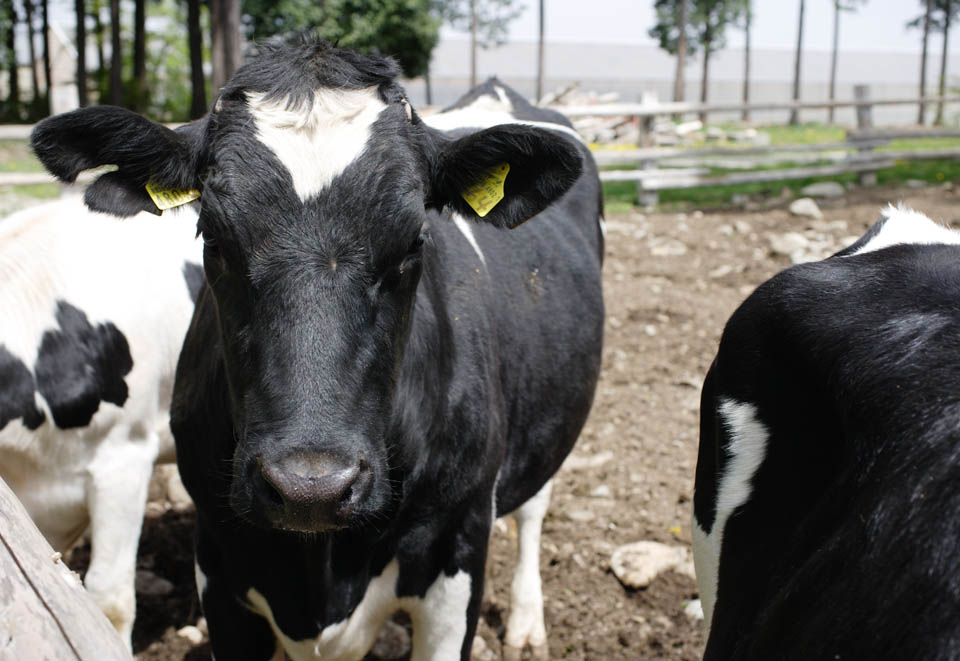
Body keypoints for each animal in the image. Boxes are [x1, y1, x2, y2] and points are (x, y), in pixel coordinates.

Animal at [31, 42, 608, 660]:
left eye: (414, 240)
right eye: (214, 236)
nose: (312, 488)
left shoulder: (459, 544)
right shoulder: (218, 560)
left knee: (534, 511)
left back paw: (526, 621)